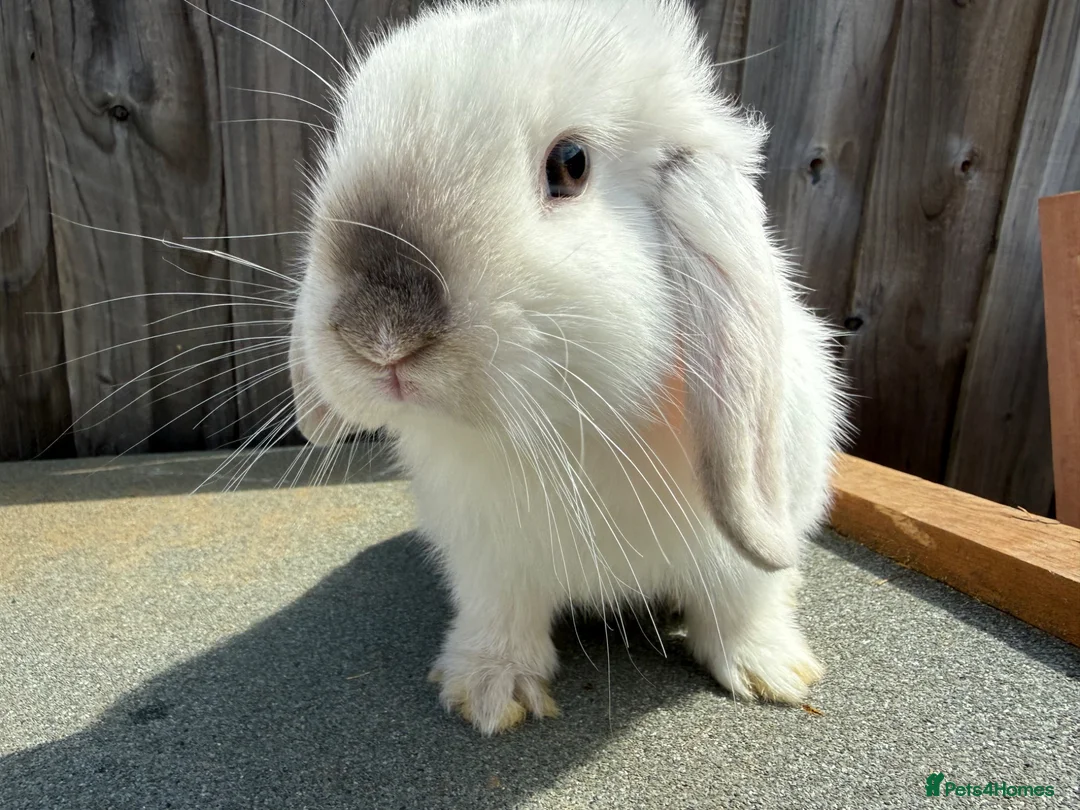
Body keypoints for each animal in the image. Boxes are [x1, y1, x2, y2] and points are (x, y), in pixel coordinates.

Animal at [288, 0, 851, 736]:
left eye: (571, 164)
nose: (381, 337)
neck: (572, 430)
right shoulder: (490, 564)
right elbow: (502, 622)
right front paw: (489, 695)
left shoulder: (741, 566)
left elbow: (741, 608)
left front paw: (771, 673)